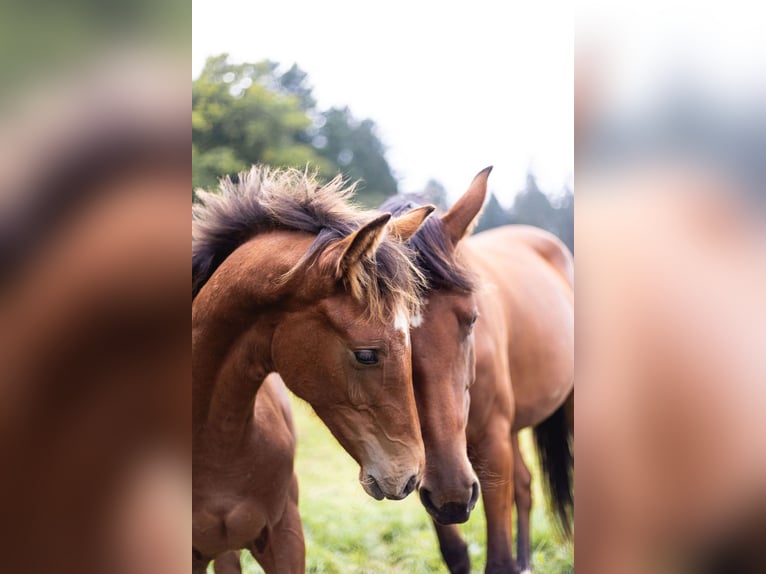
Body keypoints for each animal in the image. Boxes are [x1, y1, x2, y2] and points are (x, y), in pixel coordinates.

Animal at [380, 168, 572, 574]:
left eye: (472, 318)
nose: (452, 493)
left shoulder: (491, 442)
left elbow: (497, 559)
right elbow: (456, 553)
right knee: (524, 486)